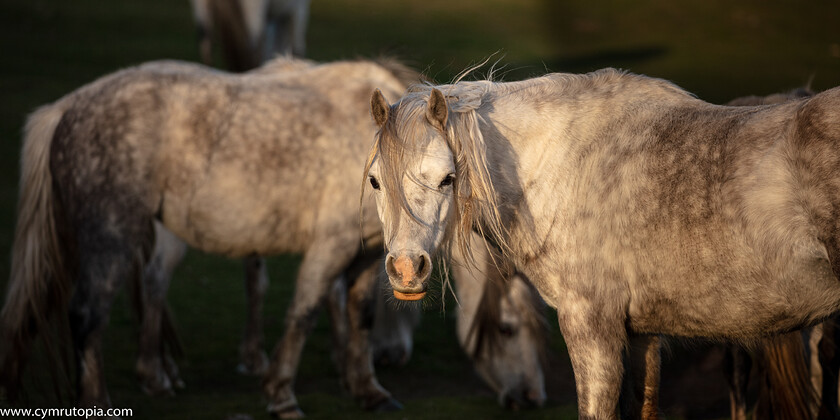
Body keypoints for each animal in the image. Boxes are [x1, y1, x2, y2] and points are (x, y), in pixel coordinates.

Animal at [0, 55, 408, 416]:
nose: (394, 357)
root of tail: (66, 107)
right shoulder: (331, 245)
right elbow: (303, 314)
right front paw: (281, 396)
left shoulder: (367, 255)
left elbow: (360, 315)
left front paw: (369, 391)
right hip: (111, 240)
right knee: (88, 315)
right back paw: (99, 403)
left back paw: (155, 378)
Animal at [368, 70, 840, 418]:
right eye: (375, 180)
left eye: (447, 178)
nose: (406, 269)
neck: (565, 169)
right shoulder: (642, 334)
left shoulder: (591, 327)